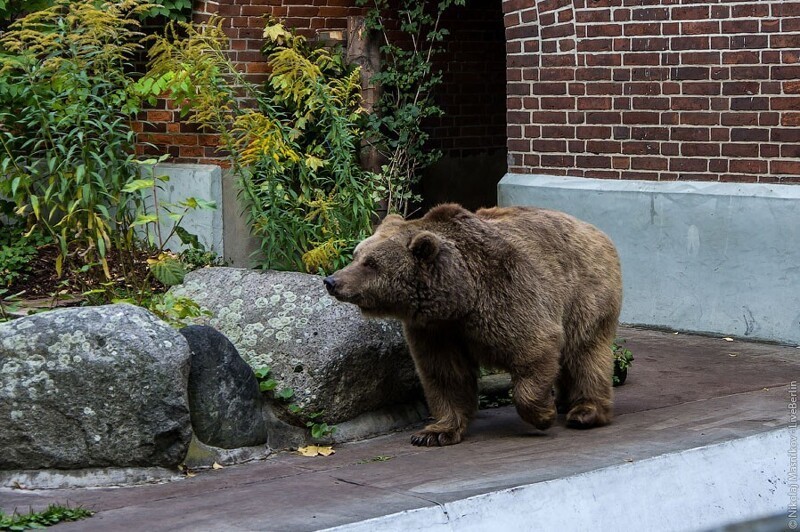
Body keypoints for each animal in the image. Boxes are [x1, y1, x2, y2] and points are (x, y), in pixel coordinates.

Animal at [322, 206, 620, 446]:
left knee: (585, 352)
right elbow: (445, 374)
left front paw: (543, 415)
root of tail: (594, 229)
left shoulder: (508, 294)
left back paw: (585, 411)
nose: (331, 281)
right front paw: (434, 432)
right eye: (357, 254)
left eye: (371, 263)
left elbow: (534, 348)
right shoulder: (437, 330)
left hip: (583, 291)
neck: (462, 298)